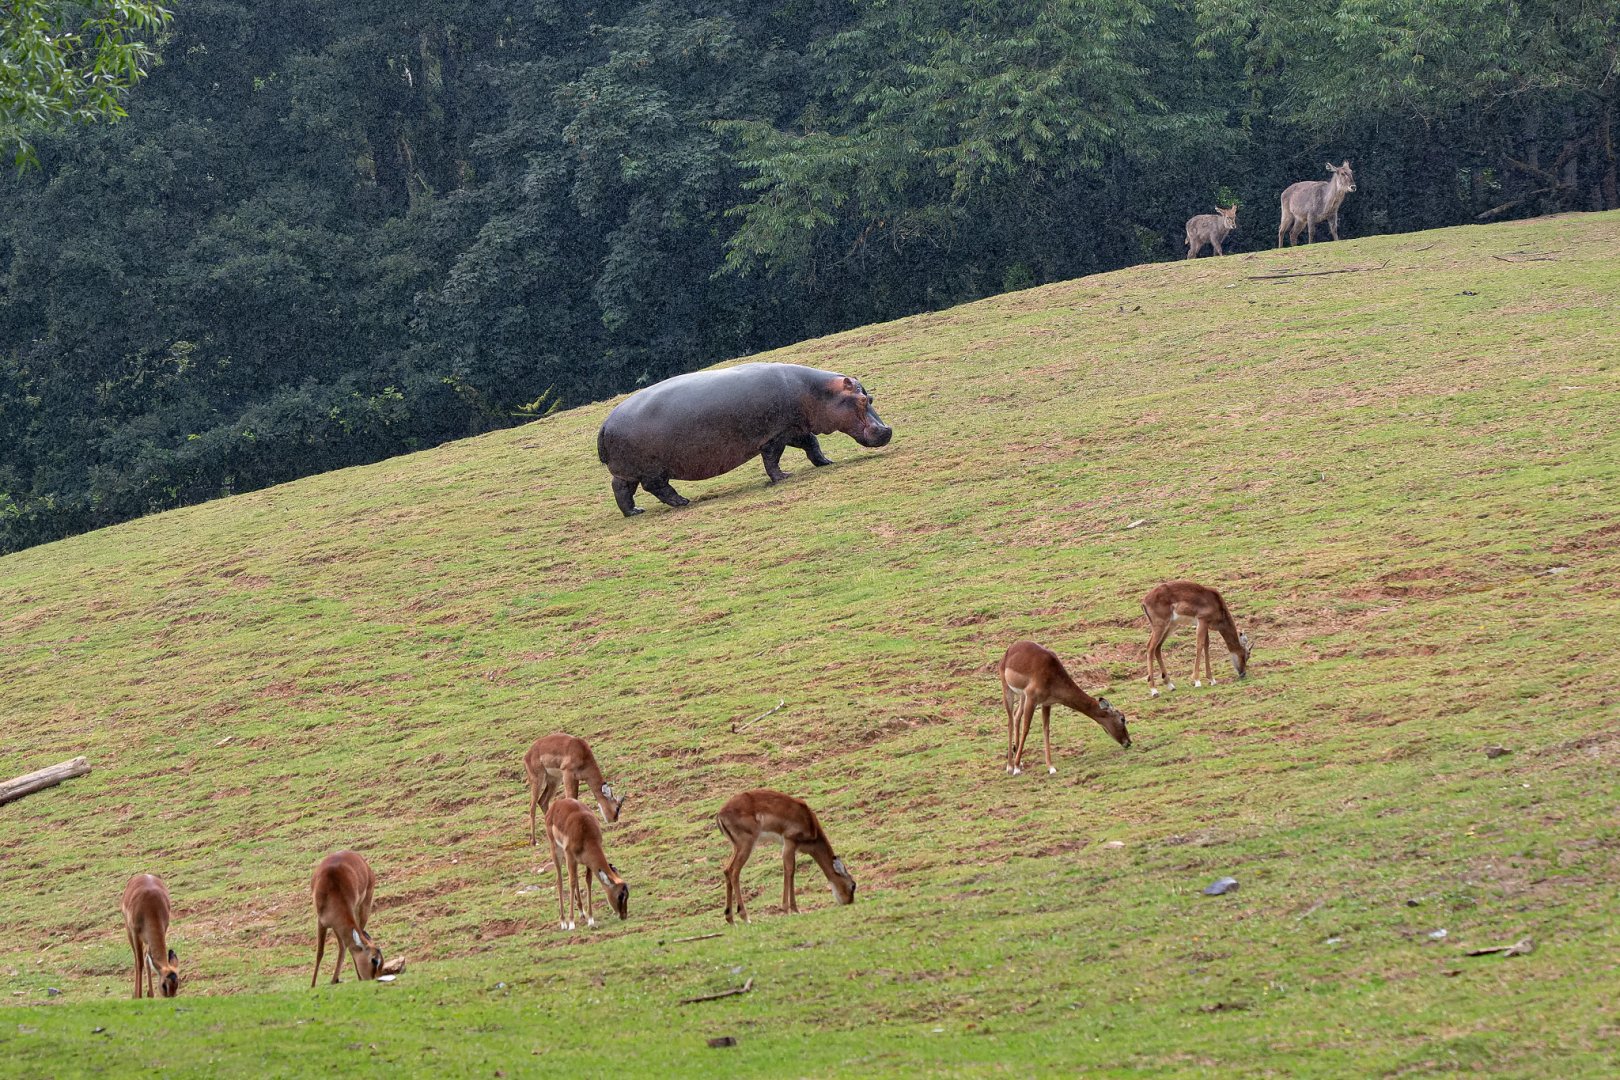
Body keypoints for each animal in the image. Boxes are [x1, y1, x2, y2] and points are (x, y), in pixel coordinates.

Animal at [596, 362, 893, 516]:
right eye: (862, 400)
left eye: (871, 397)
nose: (887, 430)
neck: (817, 392)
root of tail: (605, 423)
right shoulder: (775, 435)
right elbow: (772, 459)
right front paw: (783, 477)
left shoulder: (793, 429)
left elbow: (812, 445)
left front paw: (827, 462)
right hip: (651, 469)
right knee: (655, 487)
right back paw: (682, 502)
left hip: (629, 471)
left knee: (621, 490)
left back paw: (636, 512)